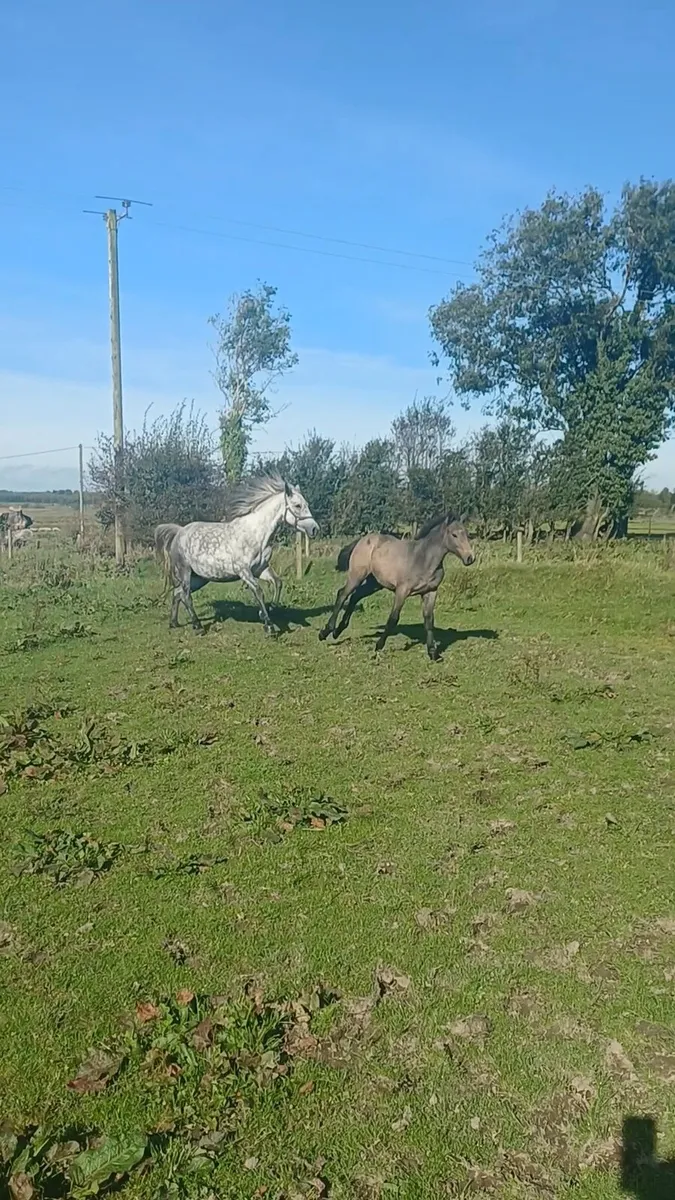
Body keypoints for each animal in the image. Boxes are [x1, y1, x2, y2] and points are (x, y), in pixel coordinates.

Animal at [154, 474, 318, 636]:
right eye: (297, 505)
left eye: (306, 504)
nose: (315, 529)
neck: (256, 534)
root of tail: (179, 532)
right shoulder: (244, 571)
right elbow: (258, 592)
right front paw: (269, 626)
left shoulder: (260, 569)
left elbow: (278, 582)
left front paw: (271, 608)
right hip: (185, 572)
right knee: (186, 596)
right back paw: (198, 626)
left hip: (200, 578)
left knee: (178, 593)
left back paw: (174, 623)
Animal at [319, 513, 475, 660]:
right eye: (454, 534)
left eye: (467, 534)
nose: (470, 558)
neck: (423, 559)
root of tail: (363, 539)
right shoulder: (402, 591)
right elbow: (393, 618)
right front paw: (379, 646)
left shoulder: (430, 591)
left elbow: (429, 620)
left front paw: (433, 653)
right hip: (357, 576)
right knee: (343, 594)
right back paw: (325, 632)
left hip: (374, 583)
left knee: (355, 596)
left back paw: (337, 631)